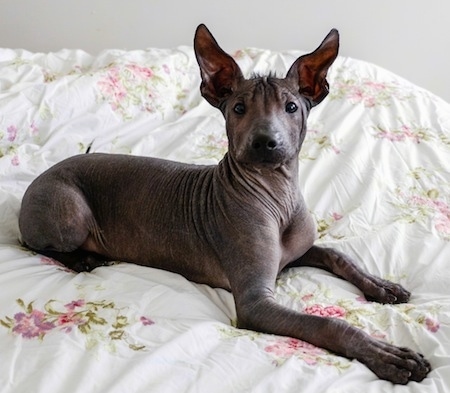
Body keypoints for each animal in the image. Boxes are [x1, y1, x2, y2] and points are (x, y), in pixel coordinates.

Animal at [19, 23, 430, 382]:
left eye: (291, 107)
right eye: (238, 108)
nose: (265, 141)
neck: (277, 195)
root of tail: (44, 172)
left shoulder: (296, 255)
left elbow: (338, 256)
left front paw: (382, 287)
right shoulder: (255, 303)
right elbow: (329, 324)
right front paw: (388, 356)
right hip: (70, 212)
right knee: (35, 243)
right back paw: (83, 259)